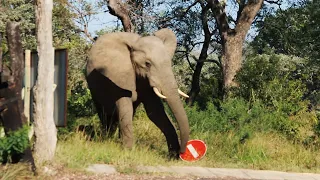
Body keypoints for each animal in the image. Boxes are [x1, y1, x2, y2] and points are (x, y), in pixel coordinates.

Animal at [85, 27, 190, 158]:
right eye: (147, 64)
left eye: (169, 63)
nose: (181, 153)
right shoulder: (120, 76)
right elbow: (126, 108)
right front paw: (128, 151)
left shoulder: (145, 81)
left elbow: (155, 112)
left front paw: (172, 156)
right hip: (93, 87)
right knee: (104, 112)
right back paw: (107, 139)